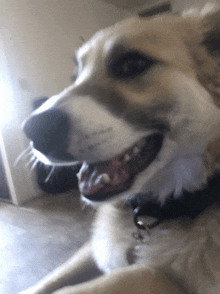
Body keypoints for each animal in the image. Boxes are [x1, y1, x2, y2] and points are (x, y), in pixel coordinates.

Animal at [19, 5, 220, 294]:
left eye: (132, 64)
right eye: (74, 77)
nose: (32, 132)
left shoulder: (167, 281)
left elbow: (135, 274)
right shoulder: (92, 246)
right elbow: (52, 279)